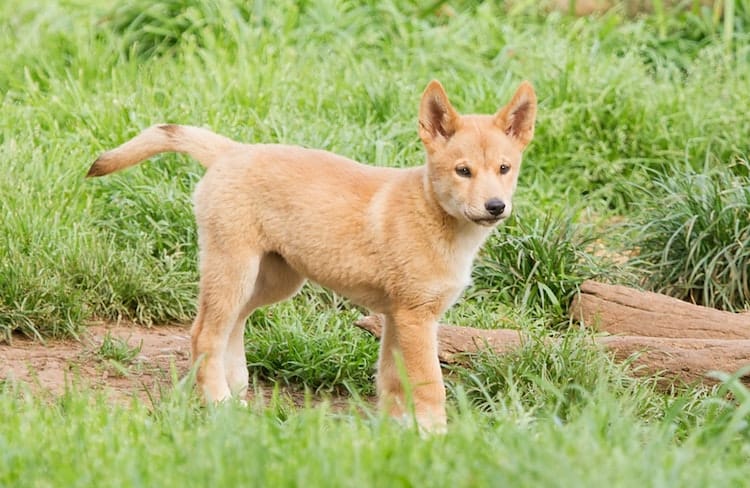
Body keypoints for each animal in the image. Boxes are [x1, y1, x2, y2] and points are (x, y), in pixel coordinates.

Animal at [86, 81, 536, 430]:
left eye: (504, 168)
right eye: (463, 171)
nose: (496, 206)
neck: (434, 218)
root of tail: (232, 150)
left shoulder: (396, 317)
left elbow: (393, 383)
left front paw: (397, 436)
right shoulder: (415, 317)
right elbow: (430, 387)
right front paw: (435, 439)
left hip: (273, 280)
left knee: (232, 326)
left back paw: (237, 395)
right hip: (233, 269)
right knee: (204, 335)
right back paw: (218, 403)